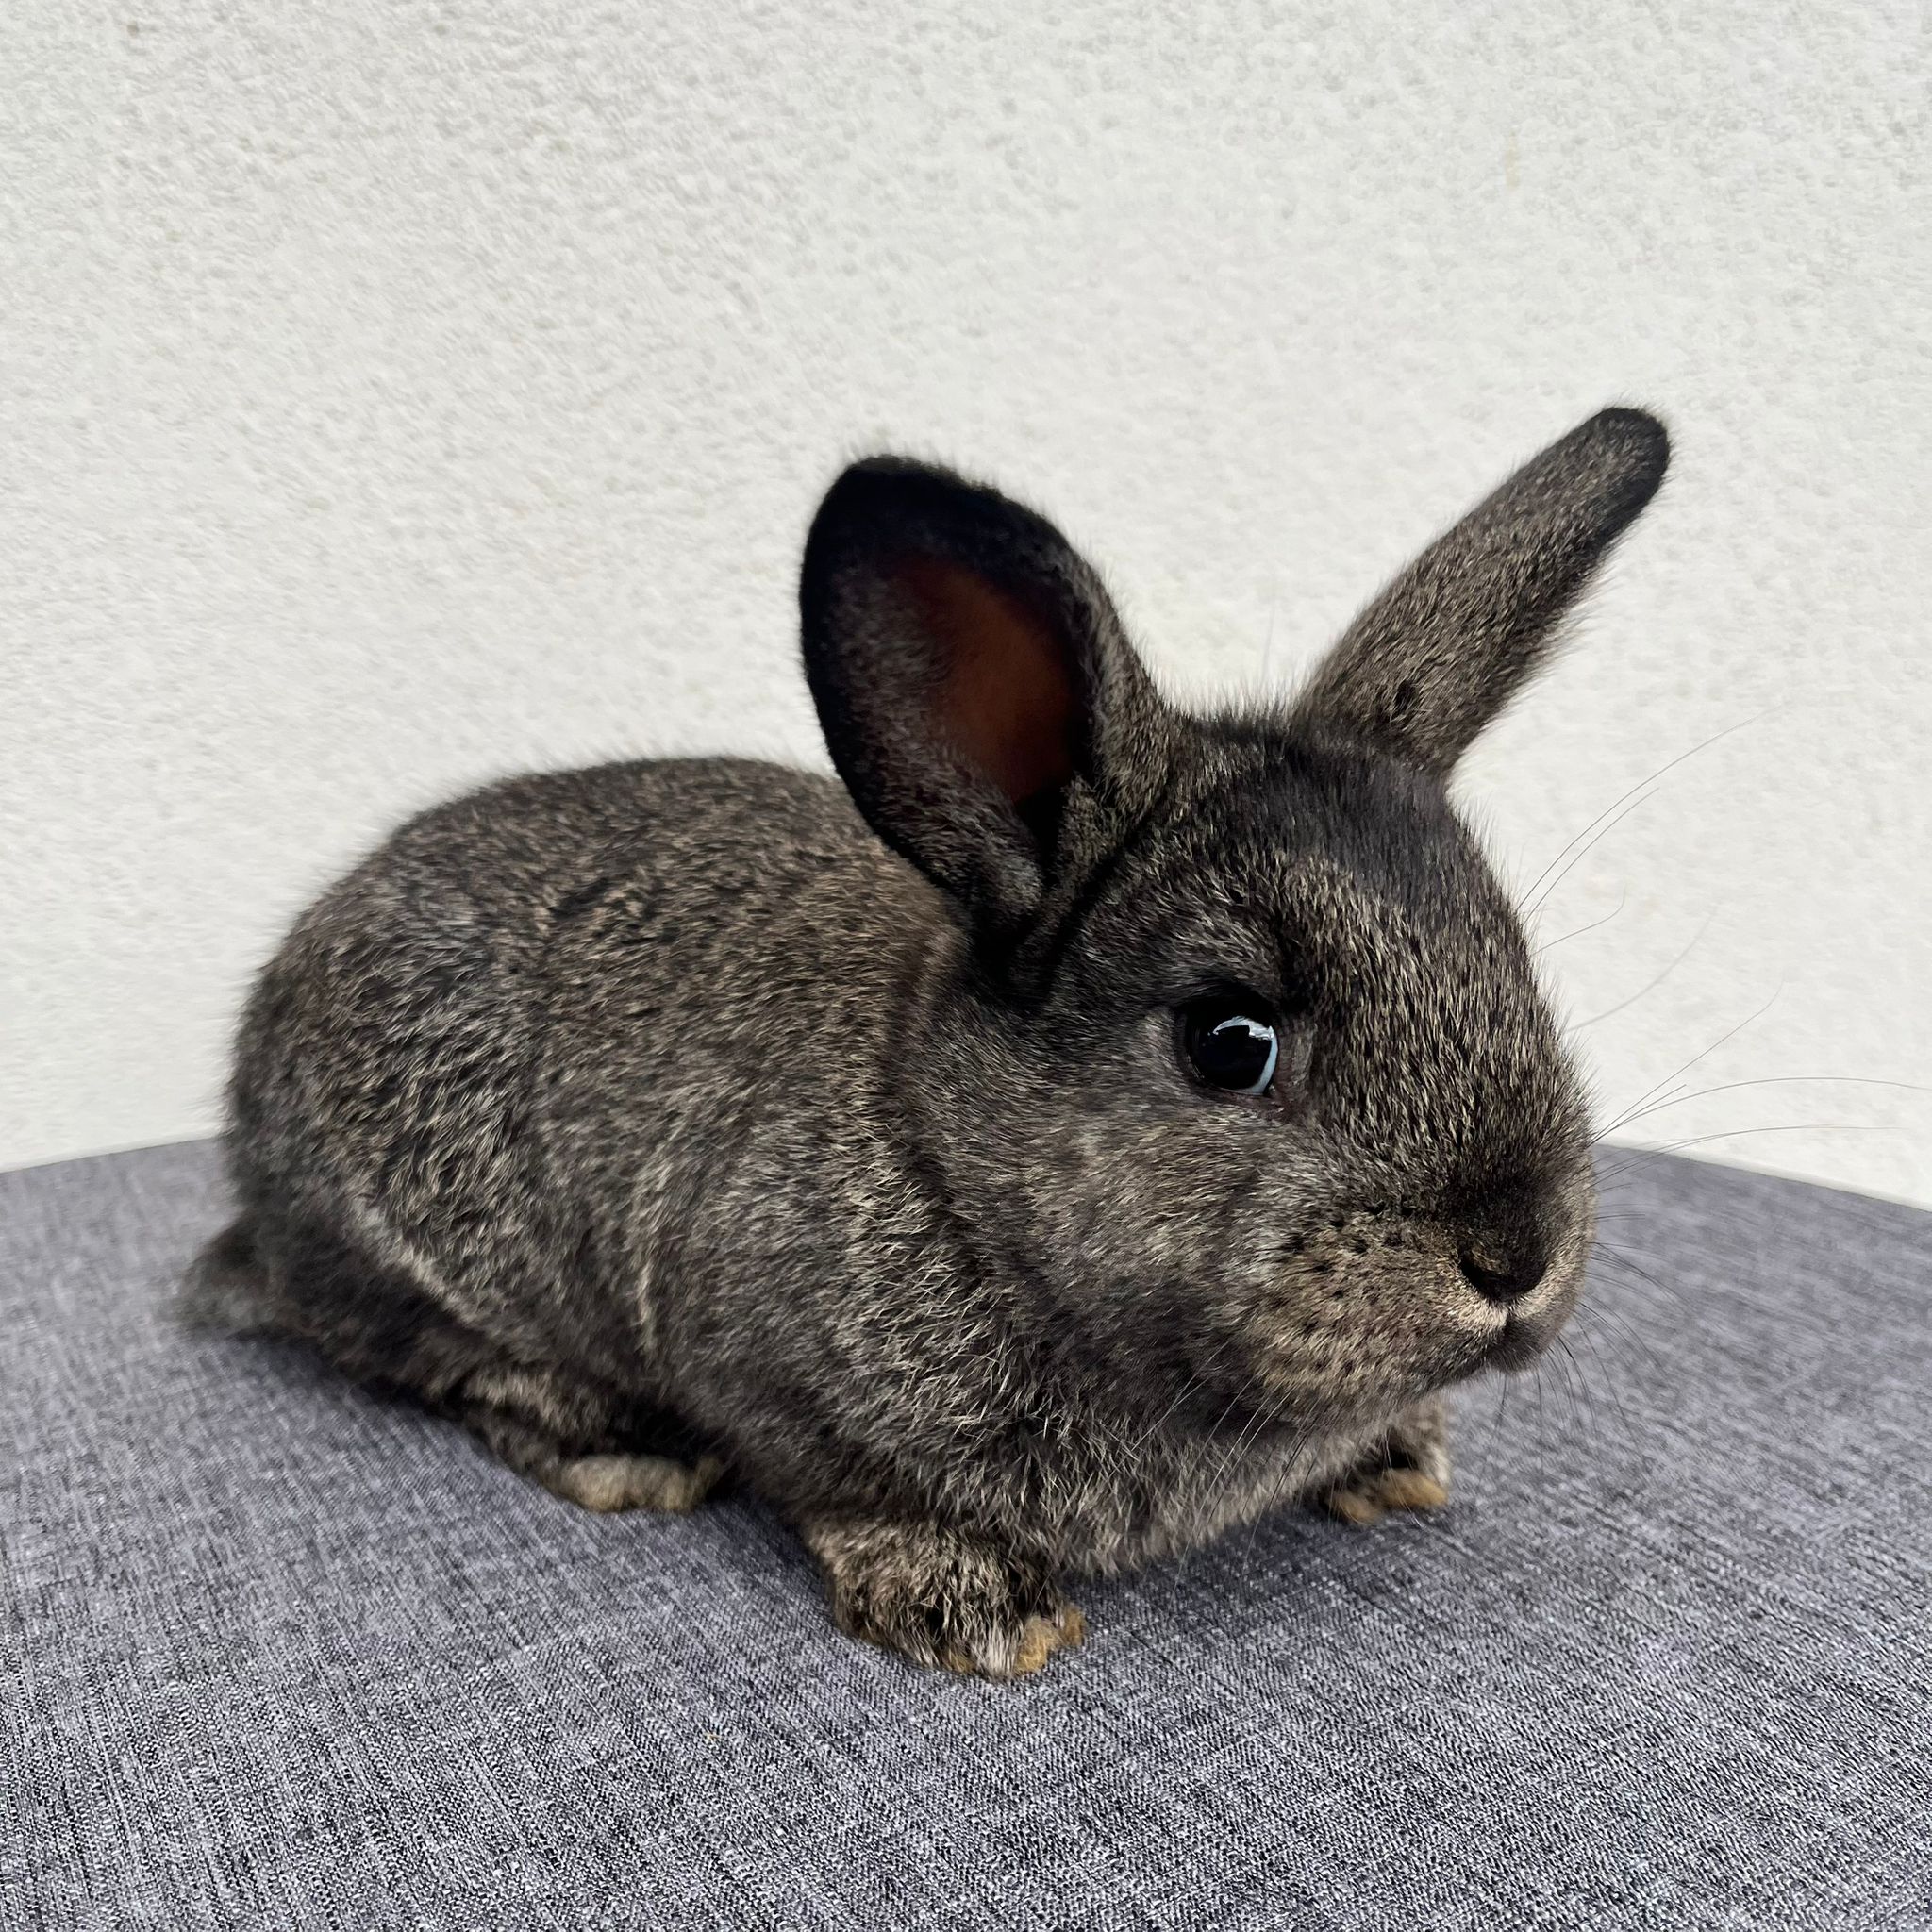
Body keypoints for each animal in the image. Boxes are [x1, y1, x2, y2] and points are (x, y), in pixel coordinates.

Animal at [188, 406, 1669, 1679]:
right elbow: (838, 1483)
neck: (963, 1179)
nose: (1517, 1254)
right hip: (411, 1245)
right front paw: (975, 1607)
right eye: (1228, 1040)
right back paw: (627, 1446)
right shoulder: (763, 1366)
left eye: (1511, 959)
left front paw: (1393, 1458)